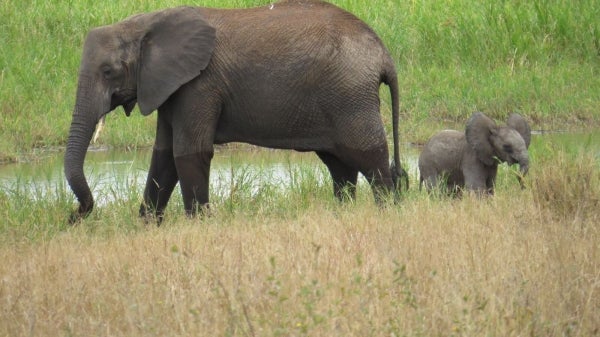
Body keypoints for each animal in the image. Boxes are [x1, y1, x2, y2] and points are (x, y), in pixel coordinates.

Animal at [64, 0, 408, 223]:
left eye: (108, 72)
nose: (74, 216)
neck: (143, 24)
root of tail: (384, 55)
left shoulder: (199, 85)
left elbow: (189, 152)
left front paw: (198, 225)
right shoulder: (169, 84)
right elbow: (163, 156)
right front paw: (148, 226)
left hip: (351, 98)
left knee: (369, 158)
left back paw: (388, 212)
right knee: (340, 165)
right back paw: (342, 214)